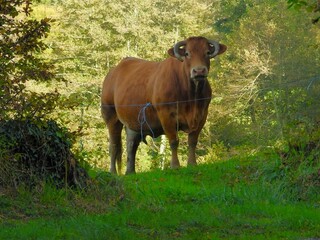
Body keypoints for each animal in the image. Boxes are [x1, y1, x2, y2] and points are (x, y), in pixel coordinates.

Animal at [101, 36, 226, 174]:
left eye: (207, 53)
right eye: (187, 53)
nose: (199, 70)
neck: (191, 97)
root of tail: (112, 73)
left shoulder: (202, 115)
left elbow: (193, 141)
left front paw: (192, 163)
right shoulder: (166, 116)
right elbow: (173, 141)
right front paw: (175, 165)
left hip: (133, 122)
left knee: (131, 145)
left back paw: (130, 171)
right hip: (111, 117)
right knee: (114, 145)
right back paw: (113, 172)